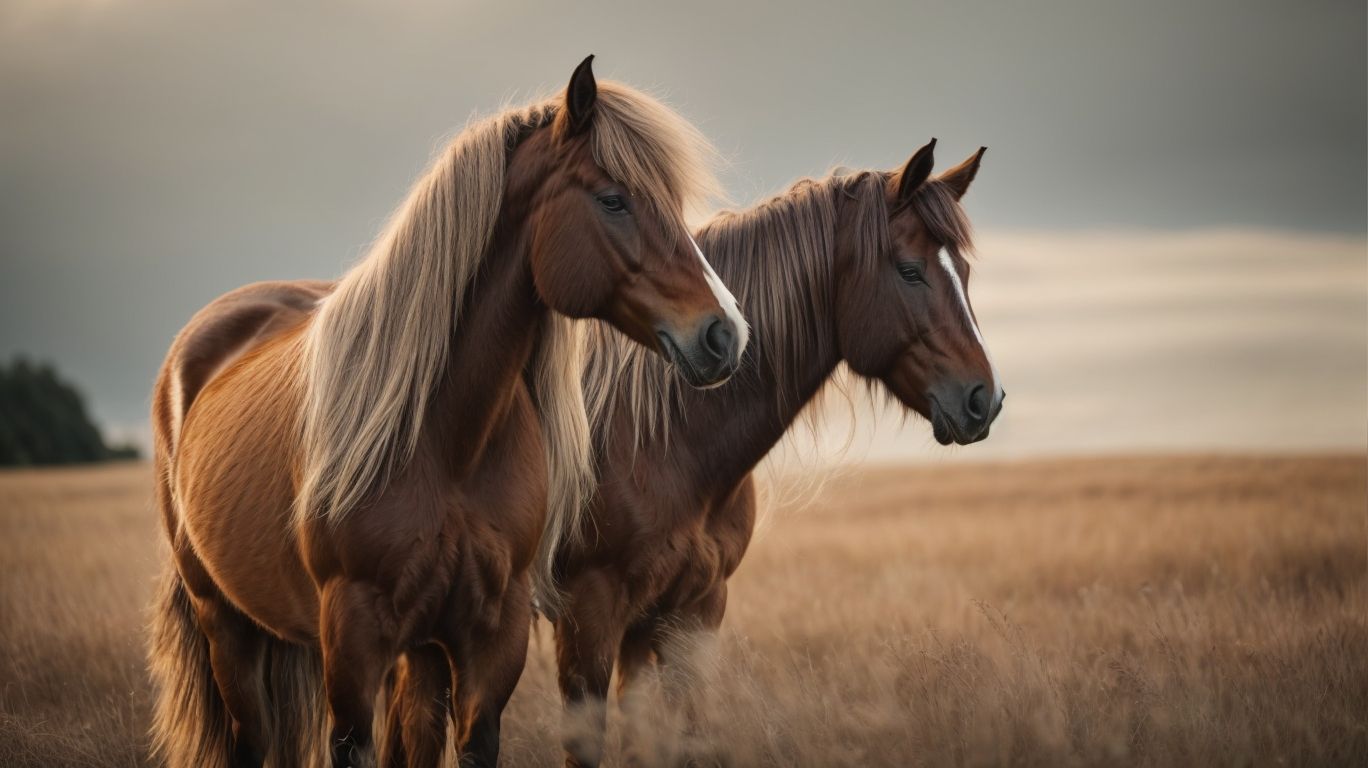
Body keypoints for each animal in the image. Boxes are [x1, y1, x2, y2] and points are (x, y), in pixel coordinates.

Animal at [147, 56, 748, 768]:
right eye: (613, 199)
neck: (445, 443)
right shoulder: (353, 639)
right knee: (250, 736)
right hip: (225, 623)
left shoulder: (492, 635)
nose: (725, 335)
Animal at [550, 138, 1001, 765]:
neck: (658, 442)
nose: (986, 399)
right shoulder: (587, 614)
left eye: (964, 272)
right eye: (910, 271)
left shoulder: (689, 613)